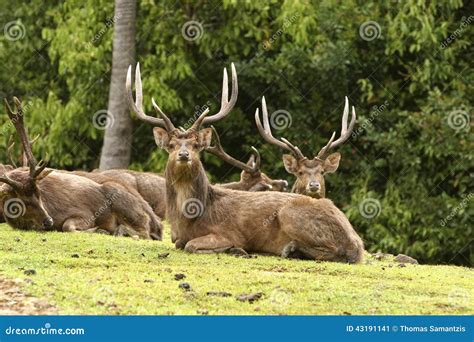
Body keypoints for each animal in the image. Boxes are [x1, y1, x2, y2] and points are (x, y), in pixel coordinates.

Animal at [0, 96, 163, 240]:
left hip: (122, 199)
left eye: (39, 193)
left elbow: (67, 226)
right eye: (22, 200)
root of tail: (158, 224)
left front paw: (98, 229)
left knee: (144, 232)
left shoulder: (85, 214)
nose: (49, 221)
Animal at [126, 62, 362, 264]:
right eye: (172, 145)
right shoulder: (175, 236)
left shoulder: (229, 232)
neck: (189, 218)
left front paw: (236, 249)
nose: (184, 155)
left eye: (195, 145)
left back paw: (290, 249)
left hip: (290, 214)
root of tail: (356, 239)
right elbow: (179, 243)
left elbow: (191, 245)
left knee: (338, 251)